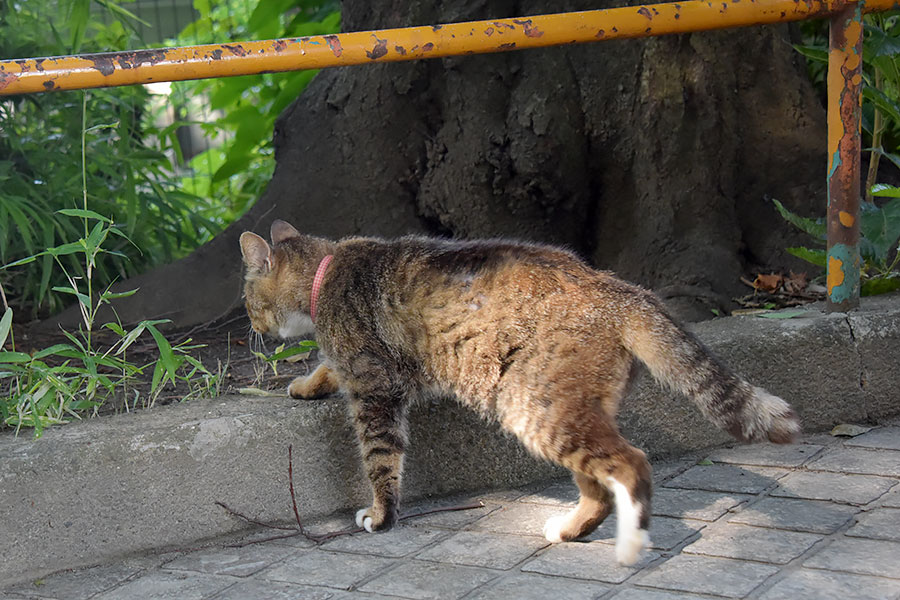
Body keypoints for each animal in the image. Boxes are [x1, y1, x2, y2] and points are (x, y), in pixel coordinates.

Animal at [239, 221, 800, 568]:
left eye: (246, 298)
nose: (250, 325)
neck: (325, 271)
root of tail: (619, 289)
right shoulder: (360, 369)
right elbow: (325, 368)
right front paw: (305, 383)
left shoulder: (376, 388)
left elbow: (380, 460)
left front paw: (381, 515)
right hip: (565, 412)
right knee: (599, 481)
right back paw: (571, 528)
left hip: (535, 408)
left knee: (632, 464)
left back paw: (622, 542)